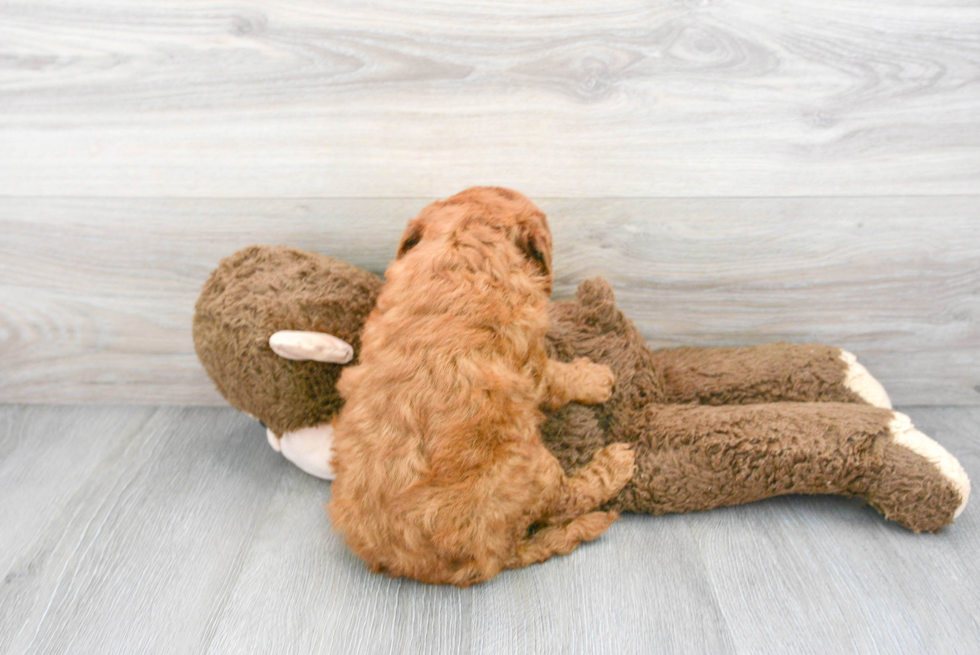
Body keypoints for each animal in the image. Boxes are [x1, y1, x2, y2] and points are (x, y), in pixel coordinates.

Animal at [330, 187, 636, 588]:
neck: (461, 252)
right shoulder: (532, 362)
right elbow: (557, 378)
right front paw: (596, 378)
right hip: (528, 464)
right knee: (564, 500)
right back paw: (616, 463)